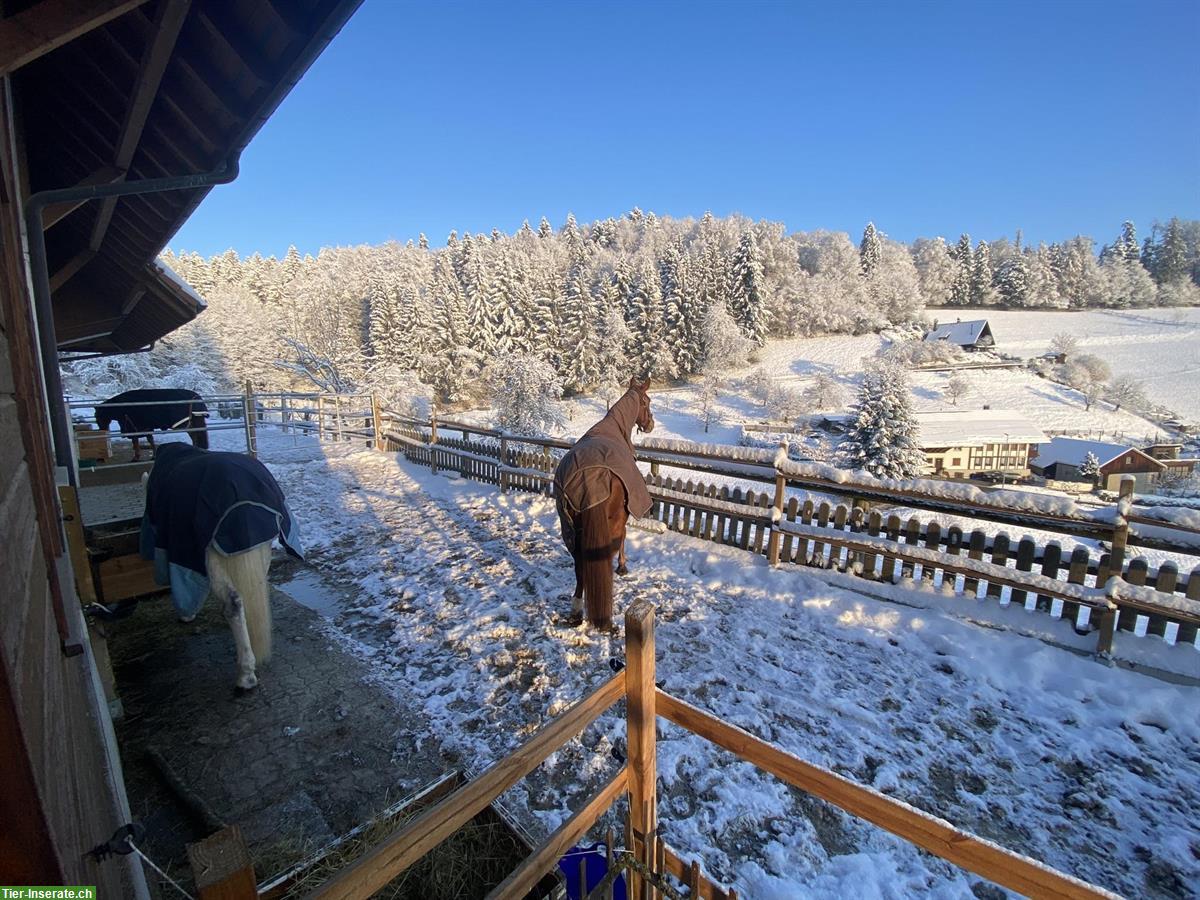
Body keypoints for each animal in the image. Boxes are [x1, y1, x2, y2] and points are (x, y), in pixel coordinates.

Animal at [554, 379, 657, 628]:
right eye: (647, 401)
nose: (650, 424)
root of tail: (588, 479)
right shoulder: (626, 512)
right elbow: (624, 537)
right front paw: (623, 566)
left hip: (570, 529)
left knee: (580, 567)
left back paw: (576, 609)